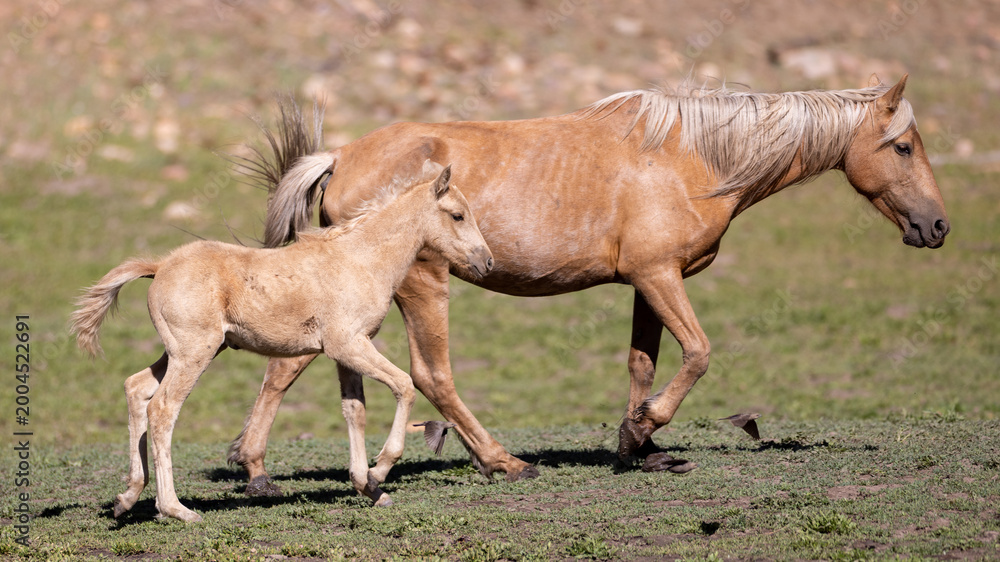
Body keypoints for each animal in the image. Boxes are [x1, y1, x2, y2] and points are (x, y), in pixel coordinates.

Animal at [70, 162, 492, 521]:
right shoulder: (348, 345)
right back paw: (176, 509)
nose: (486, 262)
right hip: (193, 354)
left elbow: (354, 410)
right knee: (162, 409)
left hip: (186, 351)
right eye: (457, 215)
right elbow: (404, 385)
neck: (361, 259)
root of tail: (160, 266)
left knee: (137, 388)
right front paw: (380, 469)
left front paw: (368, 486)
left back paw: (127, 498)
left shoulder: (345, 353)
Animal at [226, 74, 949, 493]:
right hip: (421, 286)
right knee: (432, 375)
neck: (691, 157)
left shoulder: (648, 282)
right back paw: (502, 462)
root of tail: (341, 157)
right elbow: (698, 354)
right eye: (903, 146)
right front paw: (643, 429)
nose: (937, 225)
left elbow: (643, 362)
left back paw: (254, 467)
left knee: (287, 365)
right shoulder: (659, 276)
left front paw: (641, 446)